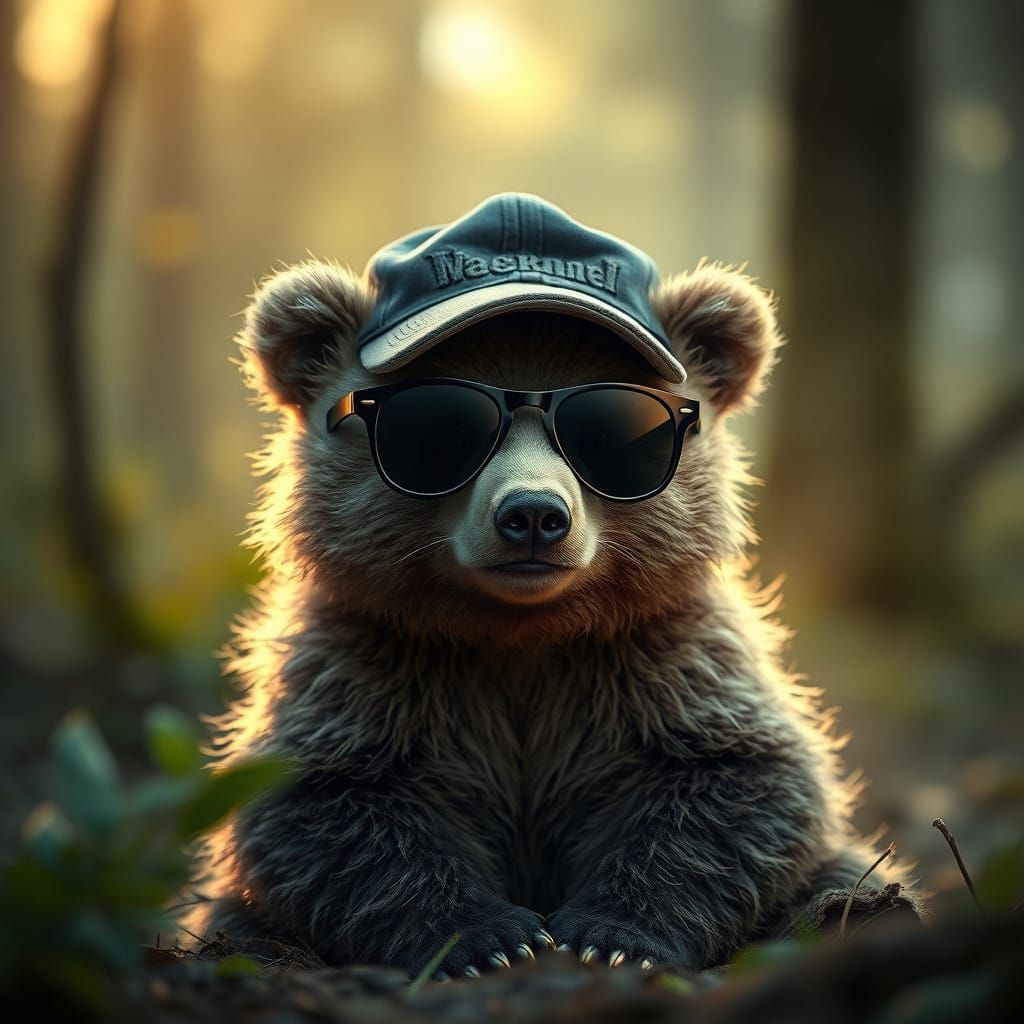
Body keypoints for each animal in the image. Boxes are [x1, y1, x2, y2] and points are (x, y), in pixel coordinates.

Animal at [185, 194, 919, 978]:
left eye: (616, 426)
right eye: (438, 425)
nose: (534, 514)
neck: (521, 634)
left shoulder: (663, 663)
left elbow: (741, 782)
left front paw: (612, 934)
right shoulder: (370, 666)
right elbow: (327, 806)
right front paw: (489, 938)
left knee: (840, 865)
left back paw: (857, 911)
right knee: (236, 918)